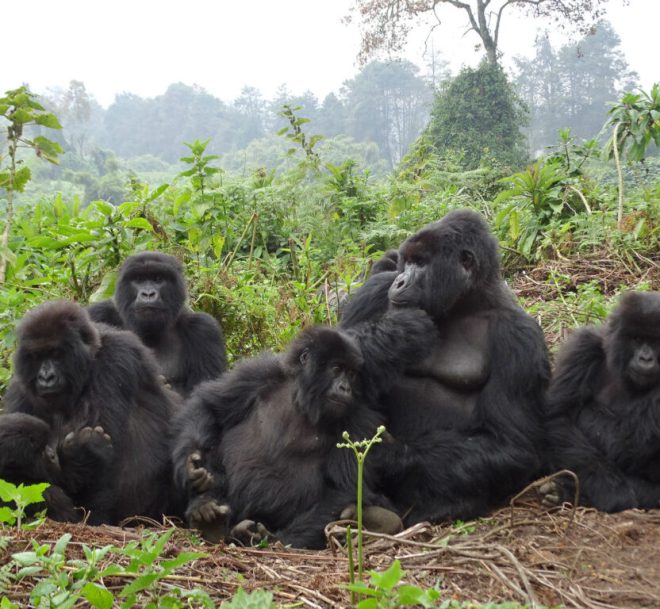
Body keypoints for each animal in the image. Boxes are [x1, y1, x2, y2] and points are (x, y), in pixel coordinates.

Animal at [173, 312, 436, 548]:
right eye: (337, 369)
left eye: (352, 374)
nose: (346, 388)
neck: (302, 398)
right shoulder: (258, 373)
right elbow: (209, 406)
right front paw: (191, 464)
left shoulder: (358, 419)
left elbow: (345, 488)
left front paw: (278, 541)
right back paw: (207, 511)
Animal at [340, 208, 552, 524]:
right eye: (406, 262)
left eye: (421, 263)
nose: (399, 281)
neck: (463, 304)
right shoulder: (374, 290)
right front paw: (398, 334)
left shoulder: (521, 339)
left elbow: (512, 444)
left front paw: (385, 456)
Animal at [540, 290, 660, 508]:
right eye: (637, 339)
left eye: (656, 342)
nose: (646, 359)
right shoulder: (584, 347)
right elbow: (560, 416)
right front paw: (610, 491)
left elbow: (625, 439)